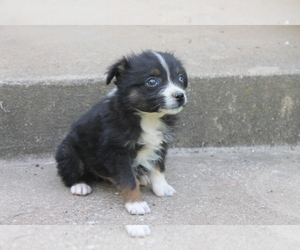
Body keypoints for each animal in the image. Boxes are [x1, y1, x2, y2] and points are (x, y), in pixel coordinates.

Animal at [55, 50, 188, 215]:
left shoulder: (160, 143)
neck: (147, 117)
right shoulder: (117, 151)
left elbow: (158, 168)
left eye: (180, 78)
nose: (180, 95)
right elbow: (127, 179)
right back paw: (80, 185)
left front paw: (162, 187)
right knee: (72, 171)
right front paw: (136, 203)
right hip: (68, 150)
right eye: (152, 81)